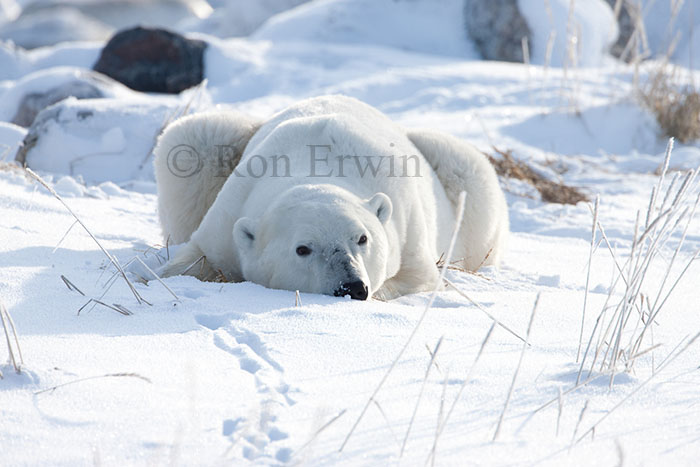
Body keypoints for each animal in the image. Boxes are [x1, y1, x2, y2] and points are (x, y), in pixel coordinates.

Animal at [154, 95, 508, 300]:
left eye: (362, 238)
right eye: (303, 249)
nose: (352, 287)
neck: (318, 164)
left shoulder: (407, 227)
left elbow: (416, 278)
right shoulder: (229, 217)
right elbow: (195, 258)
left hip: (460, 177)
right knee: (192, 141)